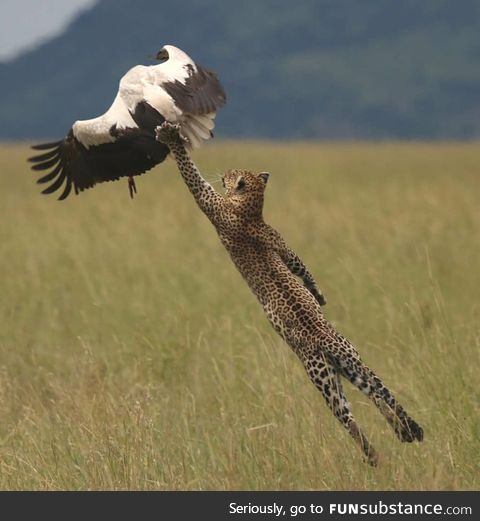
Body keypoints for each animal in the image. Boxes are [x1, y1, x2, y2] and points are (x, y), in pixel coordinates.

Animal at [156, 121, 422, 464]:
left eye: (232, 173)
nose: (225, 171)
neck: (251, 209)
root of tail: (327, 341)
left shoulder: (210, 203)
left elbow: (192, 176)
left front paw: (172, 138)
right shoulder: (281, 244)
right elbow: (299, 265)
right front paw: (319, 297)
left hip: (321, 376)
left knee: (350, 417)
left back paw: (373, 455)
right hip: (346, 366)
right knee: (376, 393)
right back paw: (402, 432)